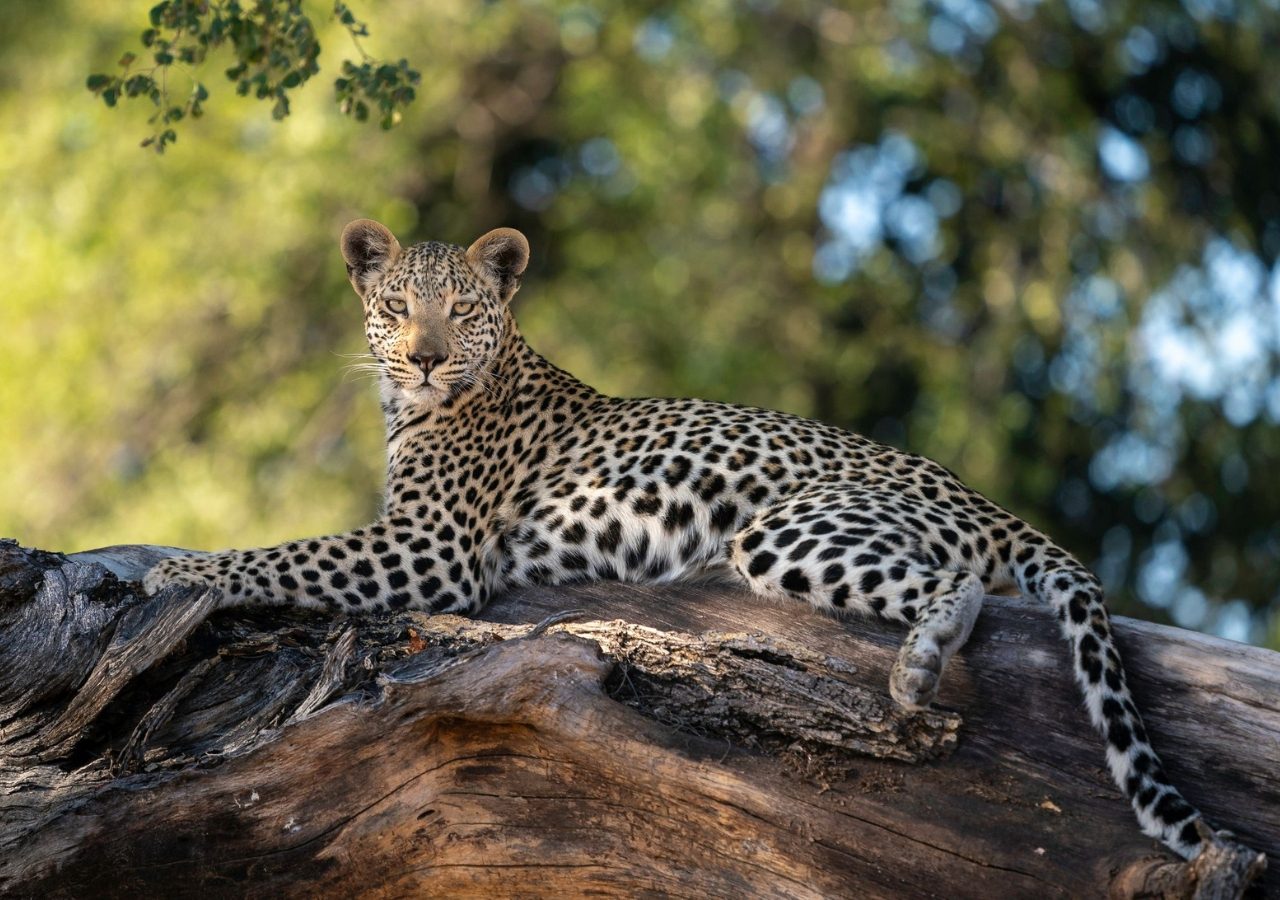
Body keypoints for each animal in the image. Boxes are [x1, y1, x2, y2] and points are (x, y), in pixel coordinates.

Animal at [149, 216, 1228, 860]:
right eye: (393, 307)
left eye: (458, 310)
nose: (421, 358)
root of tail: (979, 496)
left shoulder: (430, 548)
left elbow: (286, 553)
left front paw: (176, 564)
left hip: (788, 529)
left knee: (953, 587)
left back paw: (919, 666)